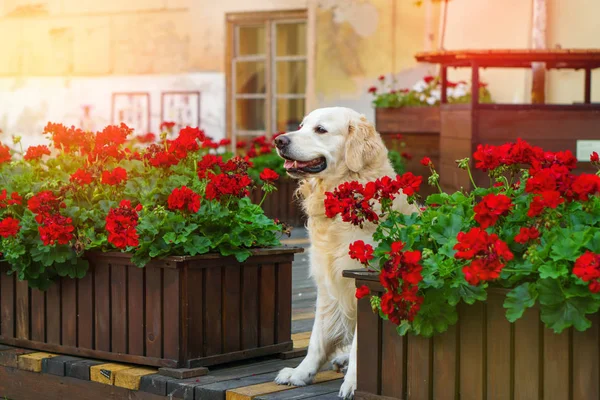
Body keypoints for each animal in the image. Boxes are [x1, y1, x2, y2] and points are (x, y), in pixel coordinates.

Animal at [274, 108, 418, 398]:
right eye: (301, 125)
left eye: (320, 129)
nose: (279, 141)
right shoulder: (327, 283)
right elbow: (317, 338)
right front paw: (301, 373)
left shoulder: (364, 283)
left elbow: (360, 346)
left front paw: (353, 383)